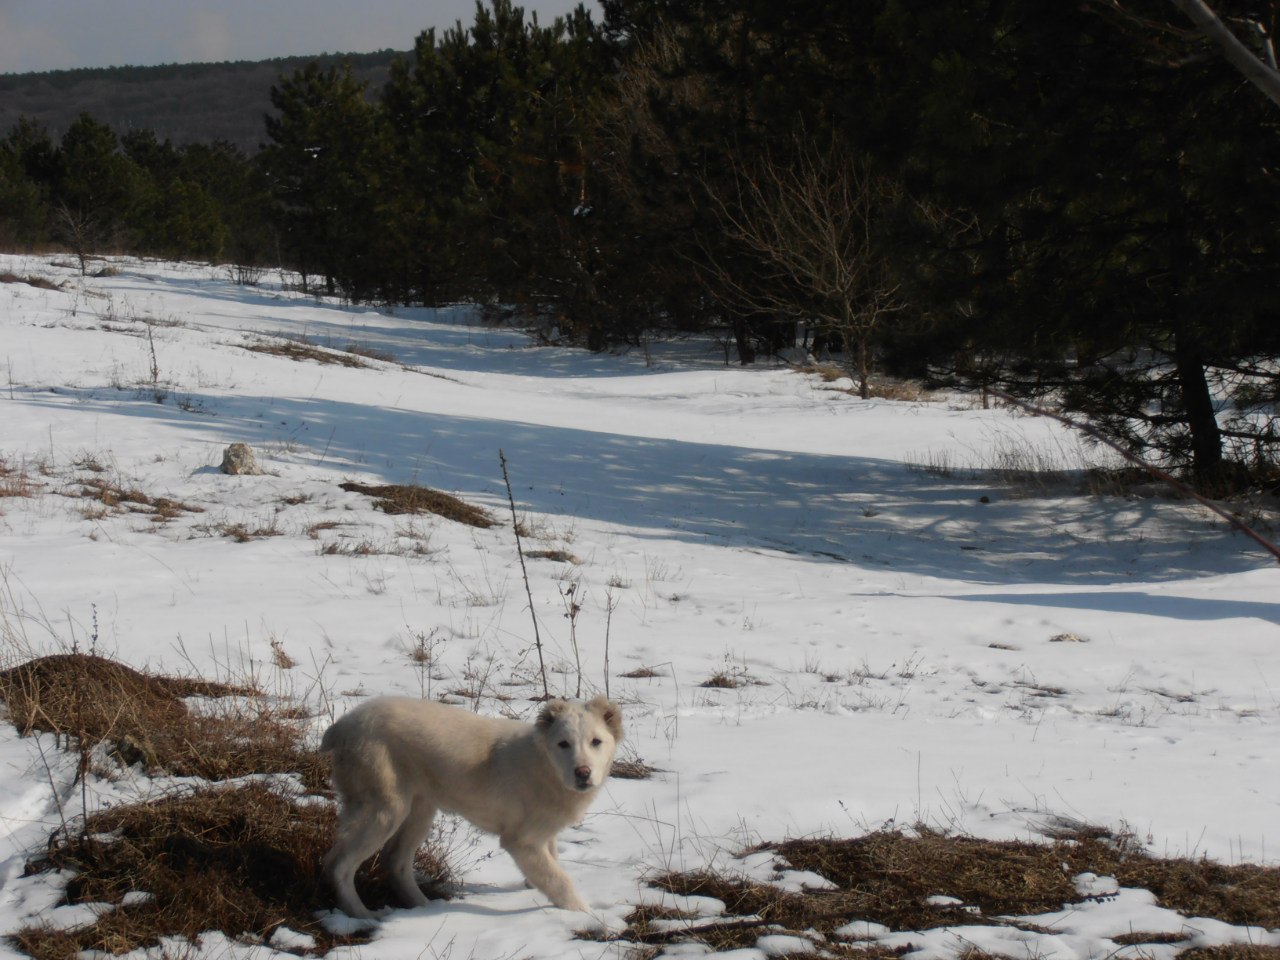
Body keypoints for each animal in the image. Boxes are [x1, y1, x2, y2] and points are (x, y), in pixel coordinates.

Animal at [320, 694, 623, 919]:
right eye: (563, 744)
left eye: (596, 742)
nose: (582, 773)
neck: (546, 767)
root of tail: (344, 725)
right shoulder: (521, 841)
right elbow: (559, 880)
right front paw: (585, 915)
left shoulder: (544, 835)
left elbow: (552, 862)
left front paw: (532, 886)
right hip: (383, 809)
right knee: (338, 864)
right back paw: (362, 915)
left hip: (420, 809)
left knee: (395, 861)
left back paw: (424, 907)